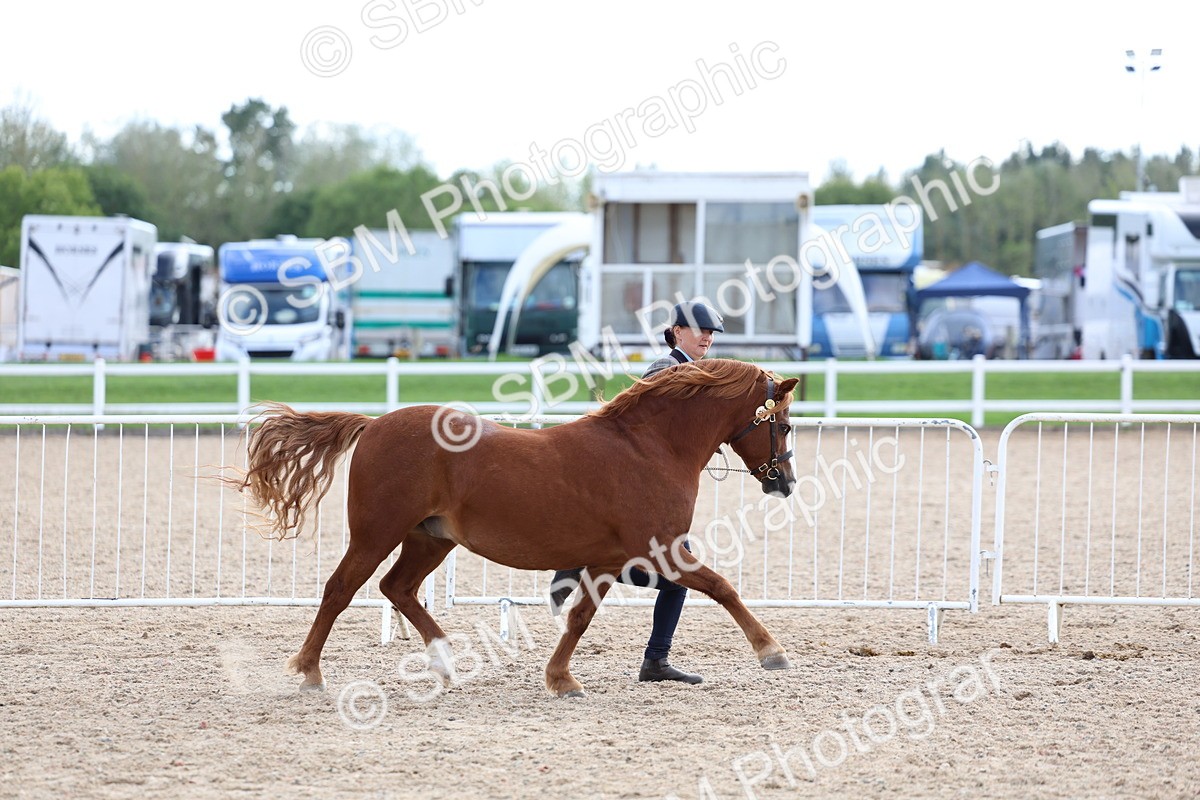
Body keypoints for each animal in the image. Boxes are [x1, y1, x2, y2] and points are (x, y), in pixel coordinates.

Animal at [235, 358, 800, 697]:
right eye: (785, 424)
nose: (787, 483)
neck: (649, 447)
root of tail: (374, 424)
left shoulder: (610, 560)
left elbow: (579, 617)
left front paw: (560, 678)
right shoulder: (662, 550)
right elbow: (722, 587)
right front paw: (771, 652)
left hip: (429, 539)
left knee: (397, 588)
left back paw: (445, 661)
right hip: (377, 534)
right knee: (340, 589)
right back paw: (310, 672)